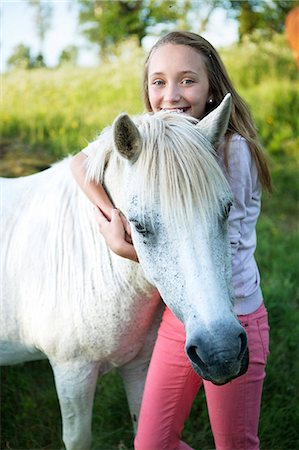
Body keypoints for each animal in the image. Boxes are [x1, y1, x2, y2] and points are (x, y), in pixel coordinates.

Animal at [0, 93, 248, 448]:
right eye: (139, 225)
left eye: (227, 209)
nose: (221, 352)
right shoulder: (72, 374)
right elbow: (79, 438)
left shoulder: (139, 367)